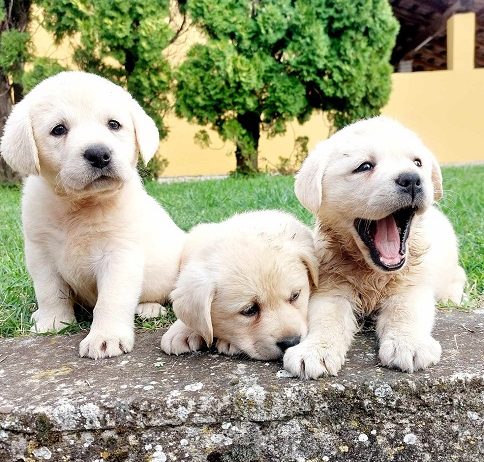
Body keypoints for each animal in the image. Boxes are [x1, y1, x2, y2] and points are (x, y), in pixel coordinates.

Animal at [0, 72, 185, 360]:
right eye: (58, 129)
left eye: (114, 124)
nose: (99, 153)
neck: (79, 206)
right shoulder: (40, 253)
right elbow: (49, 291)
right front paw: (53, 322)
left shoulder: (119, 254)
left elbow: (111, 299)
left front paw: (105, 337)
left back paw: (149, 307)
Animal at [284, 116, 466, 378]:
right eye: (365, 166)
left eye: (417, 163)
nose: (412, 179)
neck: (372, 272)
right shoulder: (331, 288)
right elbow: (327, 318)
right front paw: (315, 350)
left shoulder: (410, 285)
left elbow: (405, 312)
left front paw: (409, 344)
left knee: (458, 275)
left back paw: (452, 296)